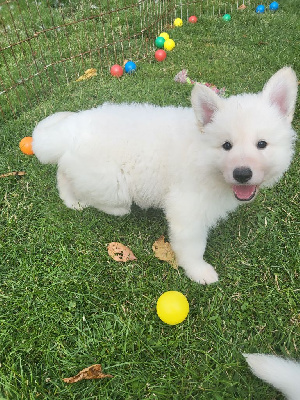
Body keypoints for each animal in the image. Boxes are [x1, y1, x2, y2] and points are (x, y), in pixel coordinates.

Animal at [32, 66, 298, 284]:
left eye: (262, 144)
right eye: (226, 146)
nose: (242, 173)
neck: (203, 155)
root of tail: (71, 129)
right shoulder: (186, 208)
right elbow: (192, 246)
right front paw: (199, 272)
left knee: (63, 172)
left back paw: (71, 201)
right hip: (111, 184)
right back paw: (105, 207)